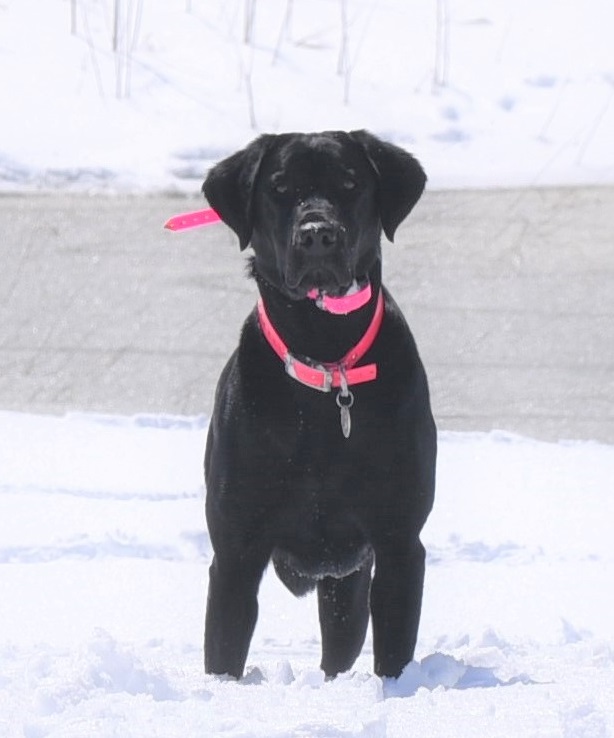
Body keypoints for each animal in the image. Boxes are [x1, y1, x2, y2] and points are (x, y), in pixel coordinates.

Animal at [202, 129, 438, 676]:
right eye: (279, 187)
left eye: (350, 184)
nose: (316, 234)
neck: (325, 360)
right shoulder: (235, 553)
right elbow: (223, 655)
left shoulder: (398, 545)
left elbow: (393, 655)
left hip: (346, 583)